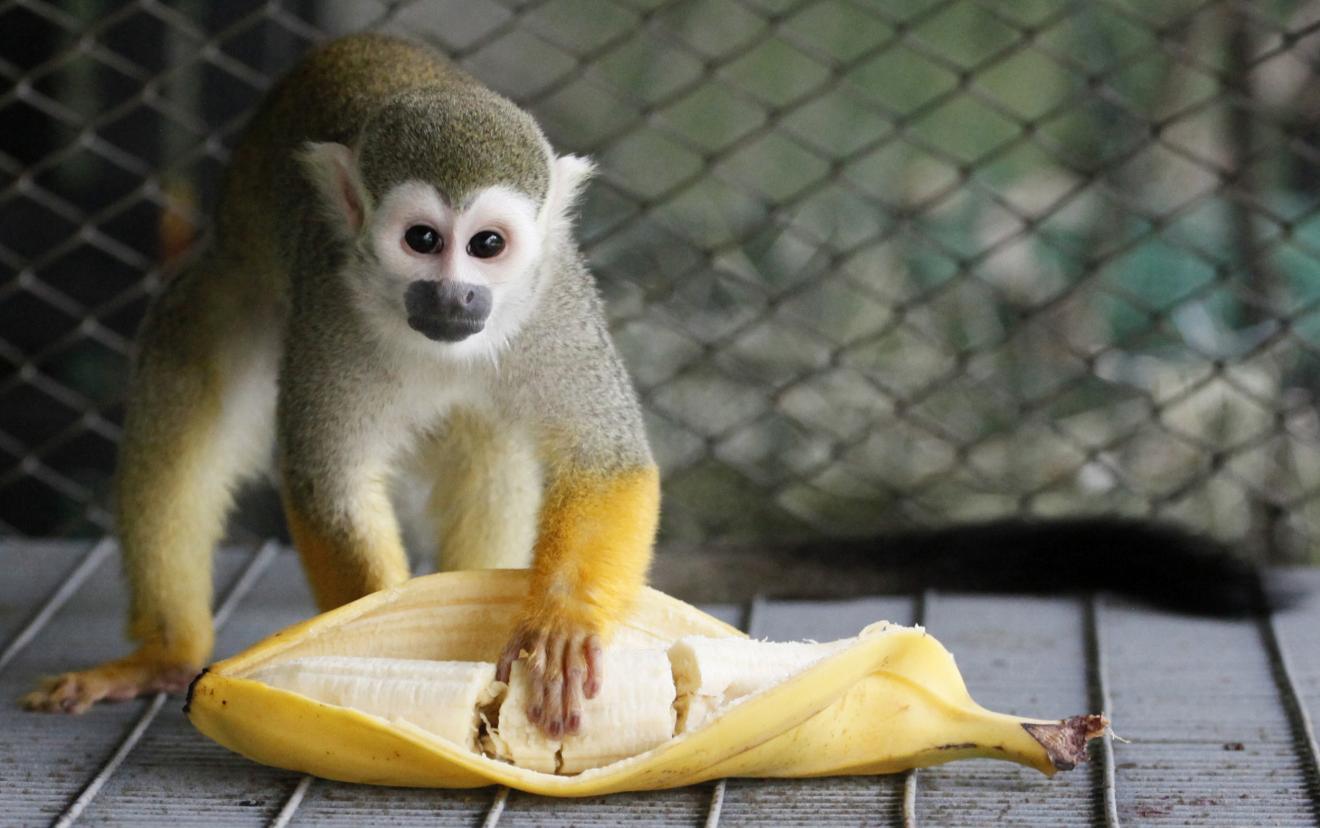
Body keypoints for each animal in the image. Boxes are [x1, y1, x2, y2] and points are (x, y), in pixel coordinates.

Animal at [23, 34, 657, 739]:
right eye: (422, 239)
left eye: (487, 244)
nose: (454, 296)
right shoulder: (331, 305)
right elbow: (329, 484)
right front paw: (370, 638)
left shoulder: (556, 301)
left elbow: (604, 461)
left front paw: (563, 625)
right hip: (235, 289)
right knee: (180, 411)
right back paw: (164, 655)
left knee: (489, 446)